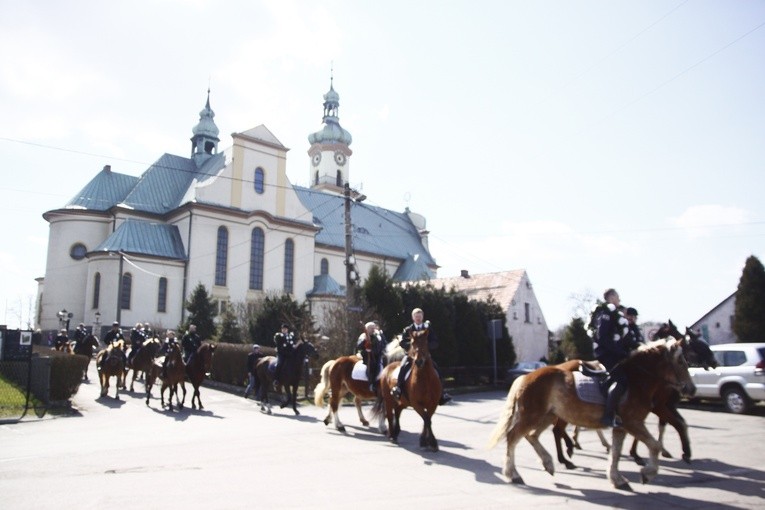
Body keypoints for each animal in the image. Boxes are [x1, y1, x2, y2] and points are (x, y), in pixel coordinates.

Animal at [486, 338, 696, 490]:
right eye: (680, 361)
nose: (691, 389)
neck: (636, 380)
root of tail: (525, 376)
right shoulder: (633, 422)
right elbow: (654, 446)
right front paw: (647, 473)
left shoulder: (621, 427)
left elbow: (616, 452)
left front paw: (617, 479)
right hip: (532, 416)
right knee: (513, 437)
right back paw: (514, 474)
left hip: (547, 416)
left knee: (532, 436)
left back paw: (550, 463)